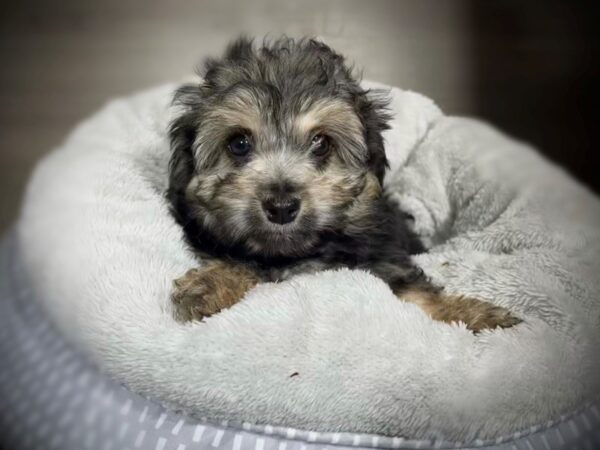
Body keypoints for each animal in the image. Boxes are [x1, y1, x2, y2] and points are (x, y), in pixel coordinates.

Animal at [165, 37, 520, 332]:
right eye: (239, 144)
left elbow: (417, 292)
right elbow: (240, 261)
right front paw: (208, 286)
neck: (295, 253)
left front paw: (476, 316)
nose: (281, 207)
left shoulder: (383, 256)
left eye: (321, 143)